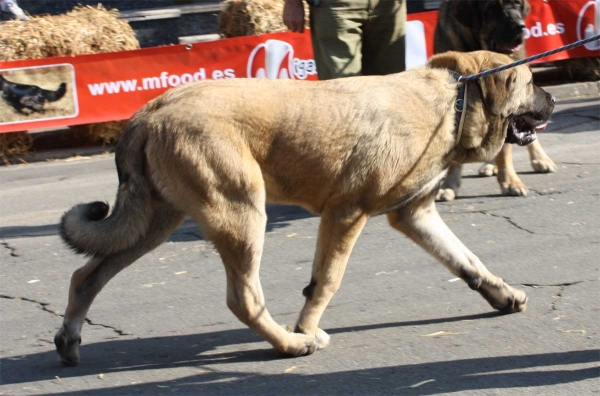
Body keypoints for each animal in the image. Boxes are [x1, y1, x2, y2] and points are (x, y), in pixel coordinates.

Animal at [55, 51, 552, 366]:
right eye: (530, 82)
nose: (551, 100)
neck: (455, 99)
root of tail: (150, 111)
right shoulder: (346, 214)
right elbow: (326, 282)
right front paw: (307, 329)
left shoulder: (415, 215)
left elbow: (467, 261)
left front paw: (501, 294)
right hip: (242, 216)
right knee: (243, 299)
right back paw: (289, 346)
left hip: (156, 222)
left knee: (86, 276)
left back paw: (69, 339)